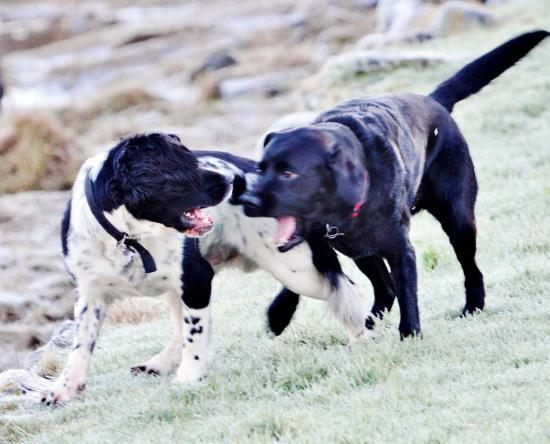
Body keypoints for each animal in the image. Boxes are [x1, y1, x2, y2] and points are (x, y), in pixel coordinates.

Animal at [43, 133, 370, 406]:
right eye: (183, 171)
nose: (232, 181)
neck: (131, 239)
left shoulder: (196, 279)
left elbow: (195, 334)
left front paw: (189, 377)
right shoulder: (90, 293)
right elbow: (81, 345)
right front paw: (64, 389)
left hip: (296, 270)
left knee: (346, 290)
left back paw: (362, 338)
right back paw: (158, 363)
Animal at [243, 30, 550, 336]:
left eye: (288, 173)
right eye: (261, 168)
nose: (247, 199)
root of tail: (433, 100)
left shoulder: (400, 250)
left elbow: (407, 295)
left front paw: (410, 334)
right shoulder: (327, 244)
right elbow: (297, 281)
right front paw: (279, 314)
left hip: (458, 220)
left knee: (467, 270)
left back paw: (472, 306)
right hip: (364, 252)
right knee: (385, 289)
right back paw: (367, 323)